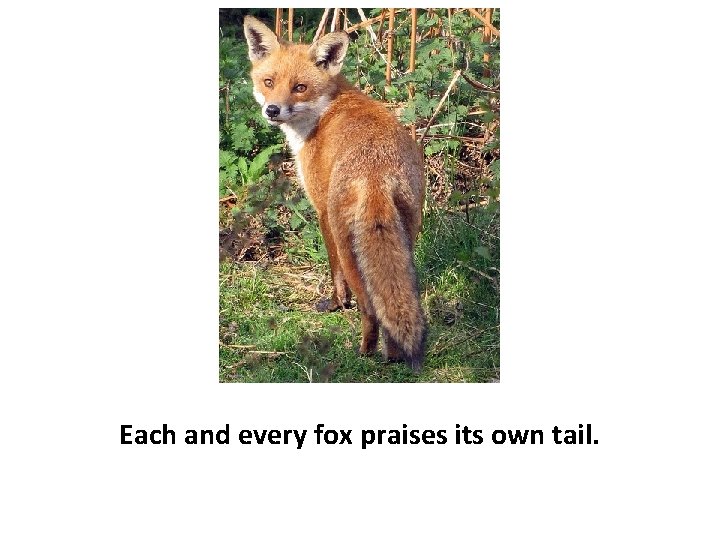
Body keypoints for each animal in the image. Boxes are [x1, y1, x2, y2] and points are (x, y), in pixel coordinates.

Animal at [243, 15, 427, 371]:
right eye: (269, 82)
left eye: (300, 87)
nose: (272, 110)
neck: (325, 109)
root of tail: (375, 172)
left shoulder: (321, 209)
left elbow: (333, 271)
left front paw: (336, 303)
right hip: (407, 233)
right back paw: (393, 356)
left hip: (348, 241)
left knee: (370, 307)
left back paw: (365, 351)